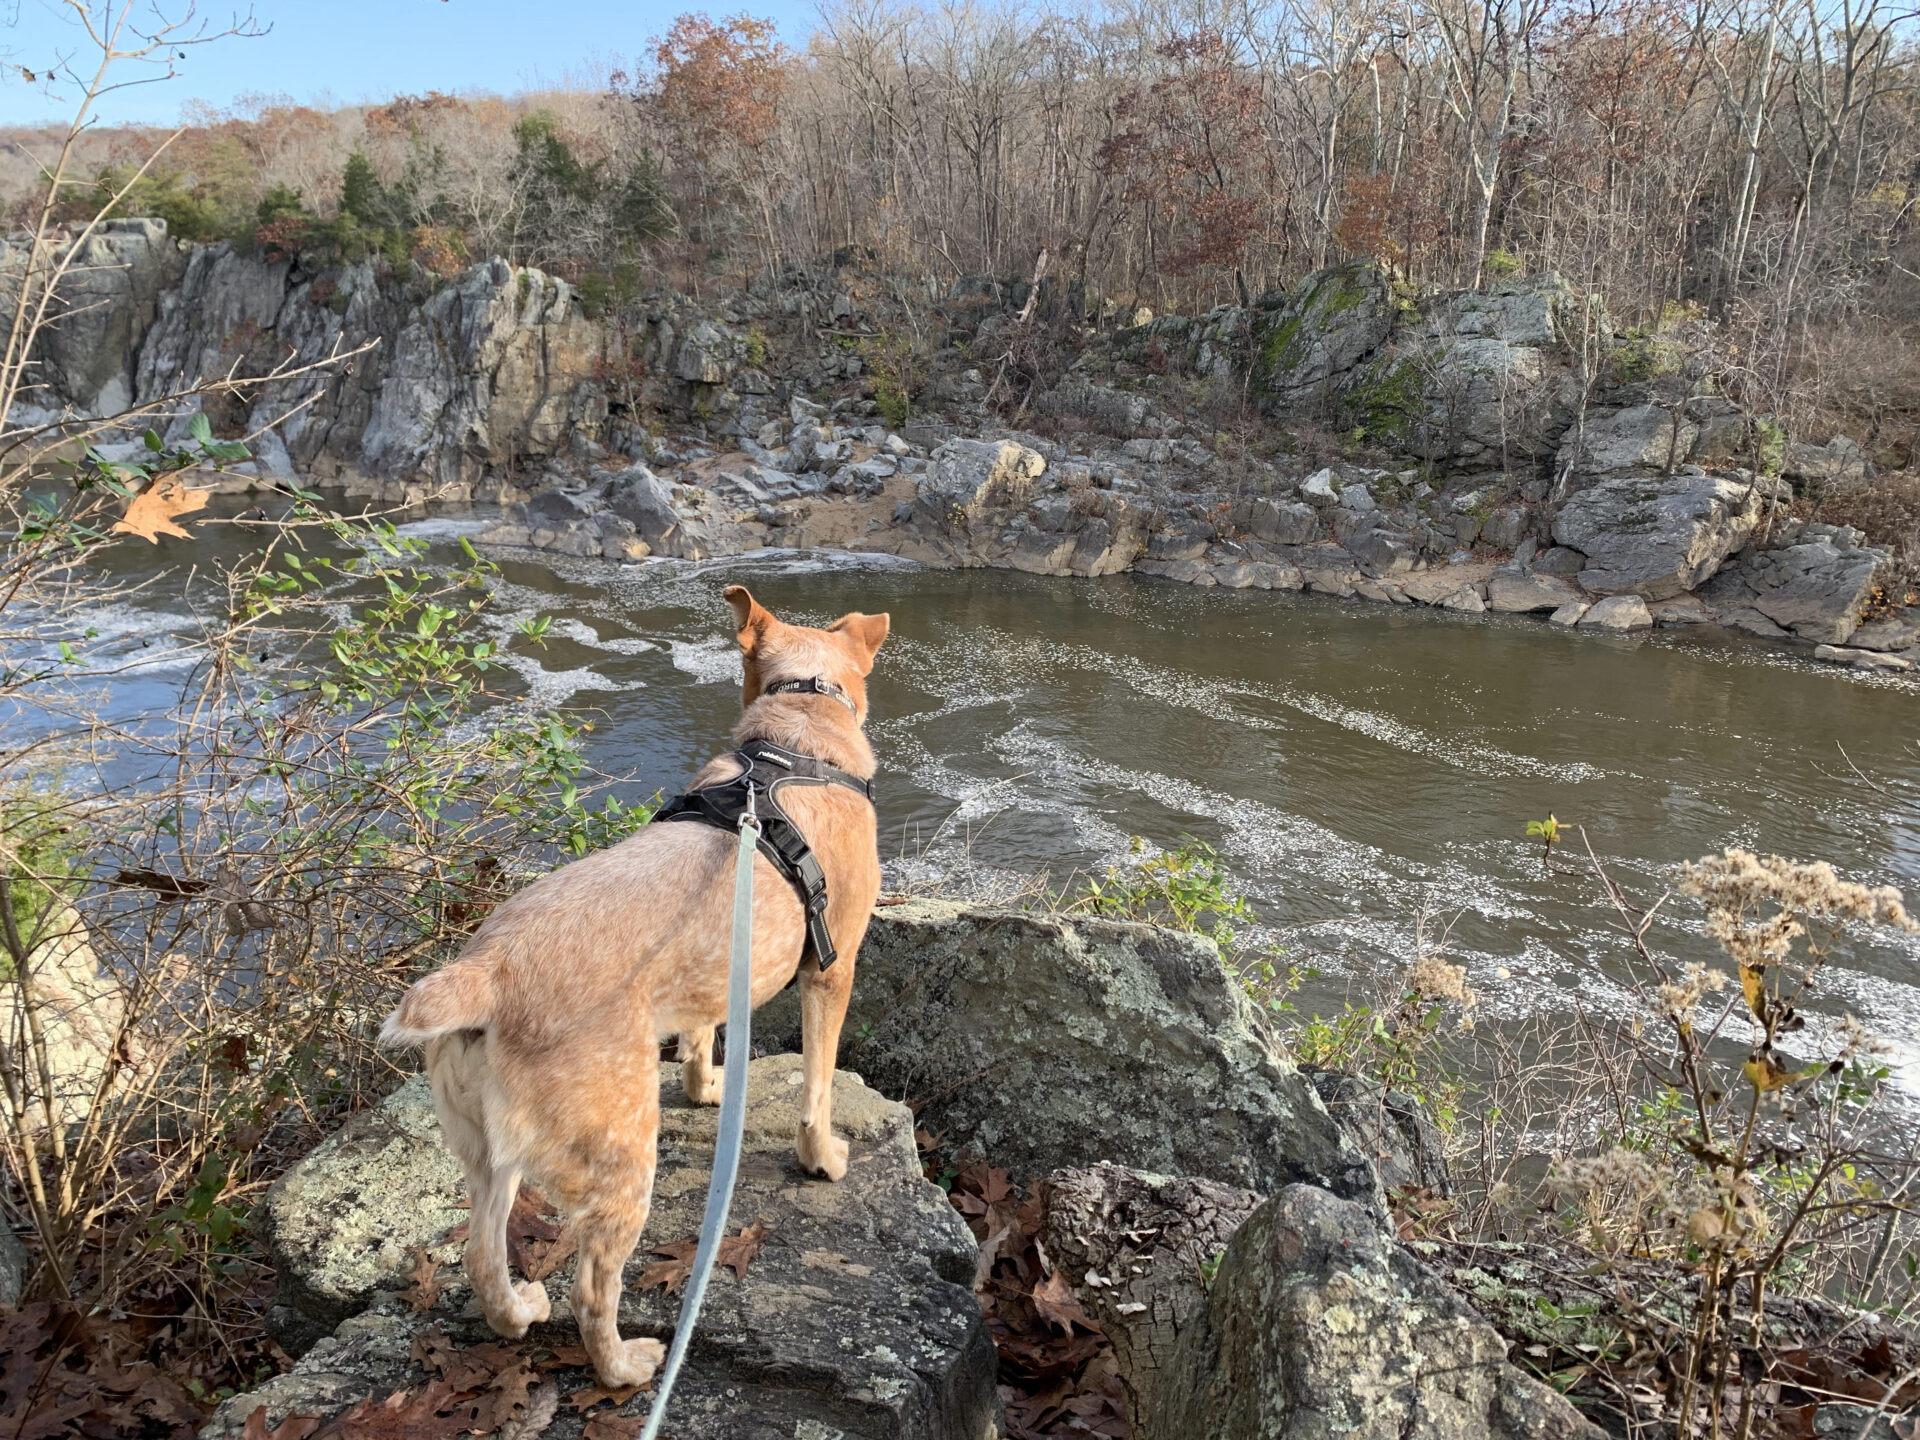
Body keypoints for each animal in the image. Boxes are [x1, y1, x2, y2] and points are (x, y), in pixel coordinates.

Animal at [382, 591, 890, 1390]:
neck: (797, 740)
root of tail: (486, 971)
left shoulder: (716, 976)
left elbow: (702, 1035)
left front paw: (707, 1087)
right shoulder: (830, 970)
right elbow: (816, 1087)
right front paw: (822, 1158)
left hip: (487, 1153)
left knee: (482, 1254)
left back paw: (519, 1312)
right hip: (623, 1156)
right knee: (593, 1289)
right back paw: (623, 1366)